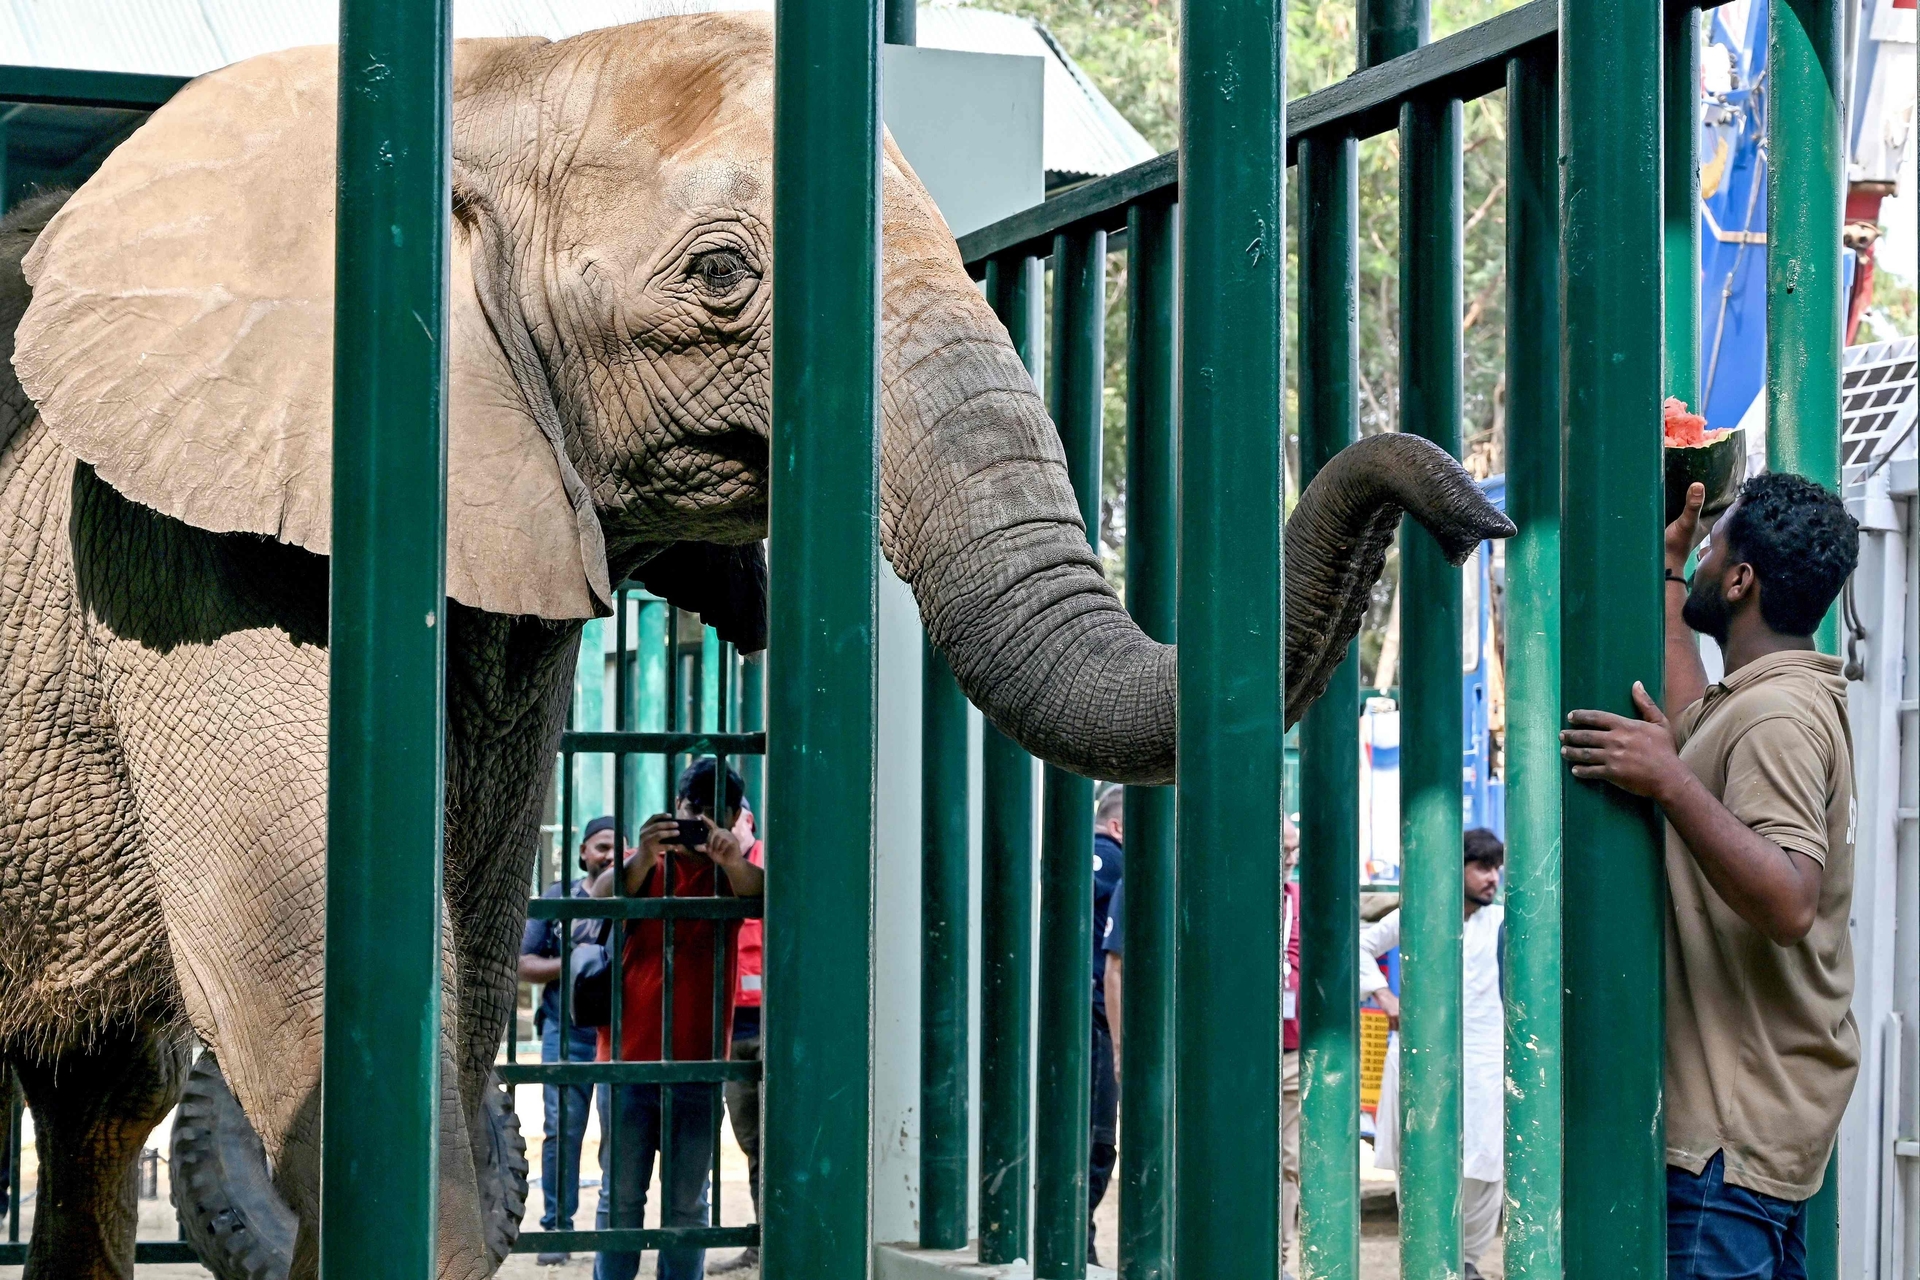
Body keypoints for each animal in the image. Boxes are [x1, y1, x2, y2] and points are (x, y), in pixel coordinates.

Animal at [0, 12, 1511, 1280]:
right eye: (723, 276)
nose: (1475, 505)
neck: (497, 79)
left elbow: (465, 966)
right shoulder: (185, 546)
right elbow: (309, 984)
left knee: (102, 1095)